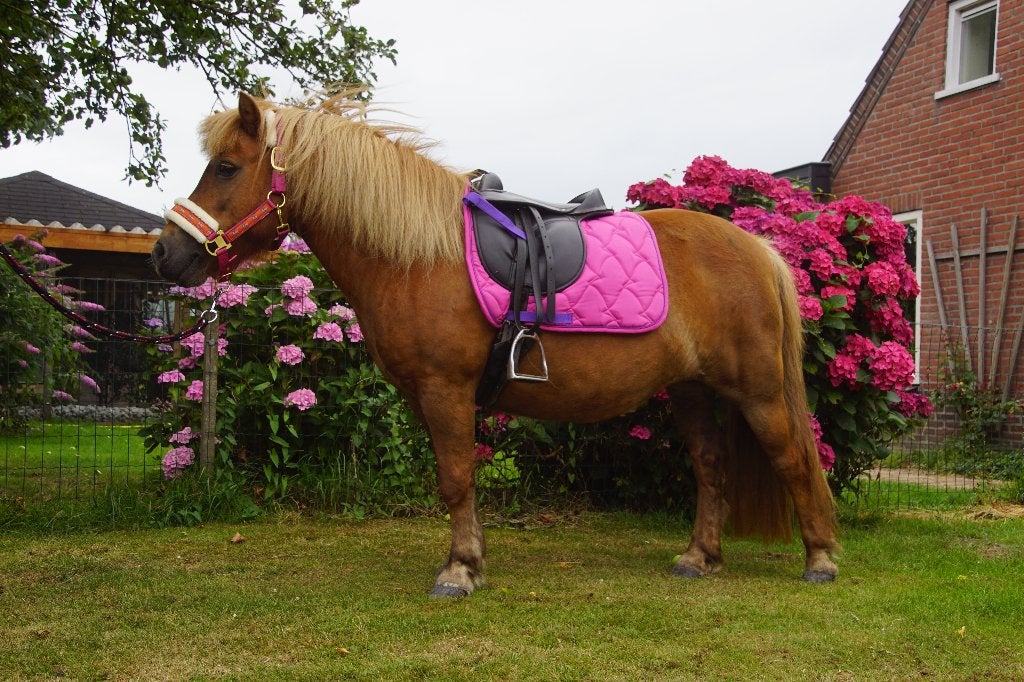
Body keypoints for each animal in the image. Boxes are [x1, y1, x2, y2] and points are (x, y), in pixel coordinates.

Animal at [151, 92, 840, 597]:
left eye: (227, 167)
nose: (166, 253)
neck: (416, 256)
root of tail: (758, 248)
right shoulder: (429, 398)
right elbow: (454, 479)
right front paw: (471, 559)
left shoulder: (445, 390)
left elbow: (456, 480)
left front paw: (459, 570)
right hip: (694, 391)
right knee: (712, 467)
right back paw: (698, 557)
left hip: (758, 391)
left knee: (795, 461)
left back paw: (821, 561)